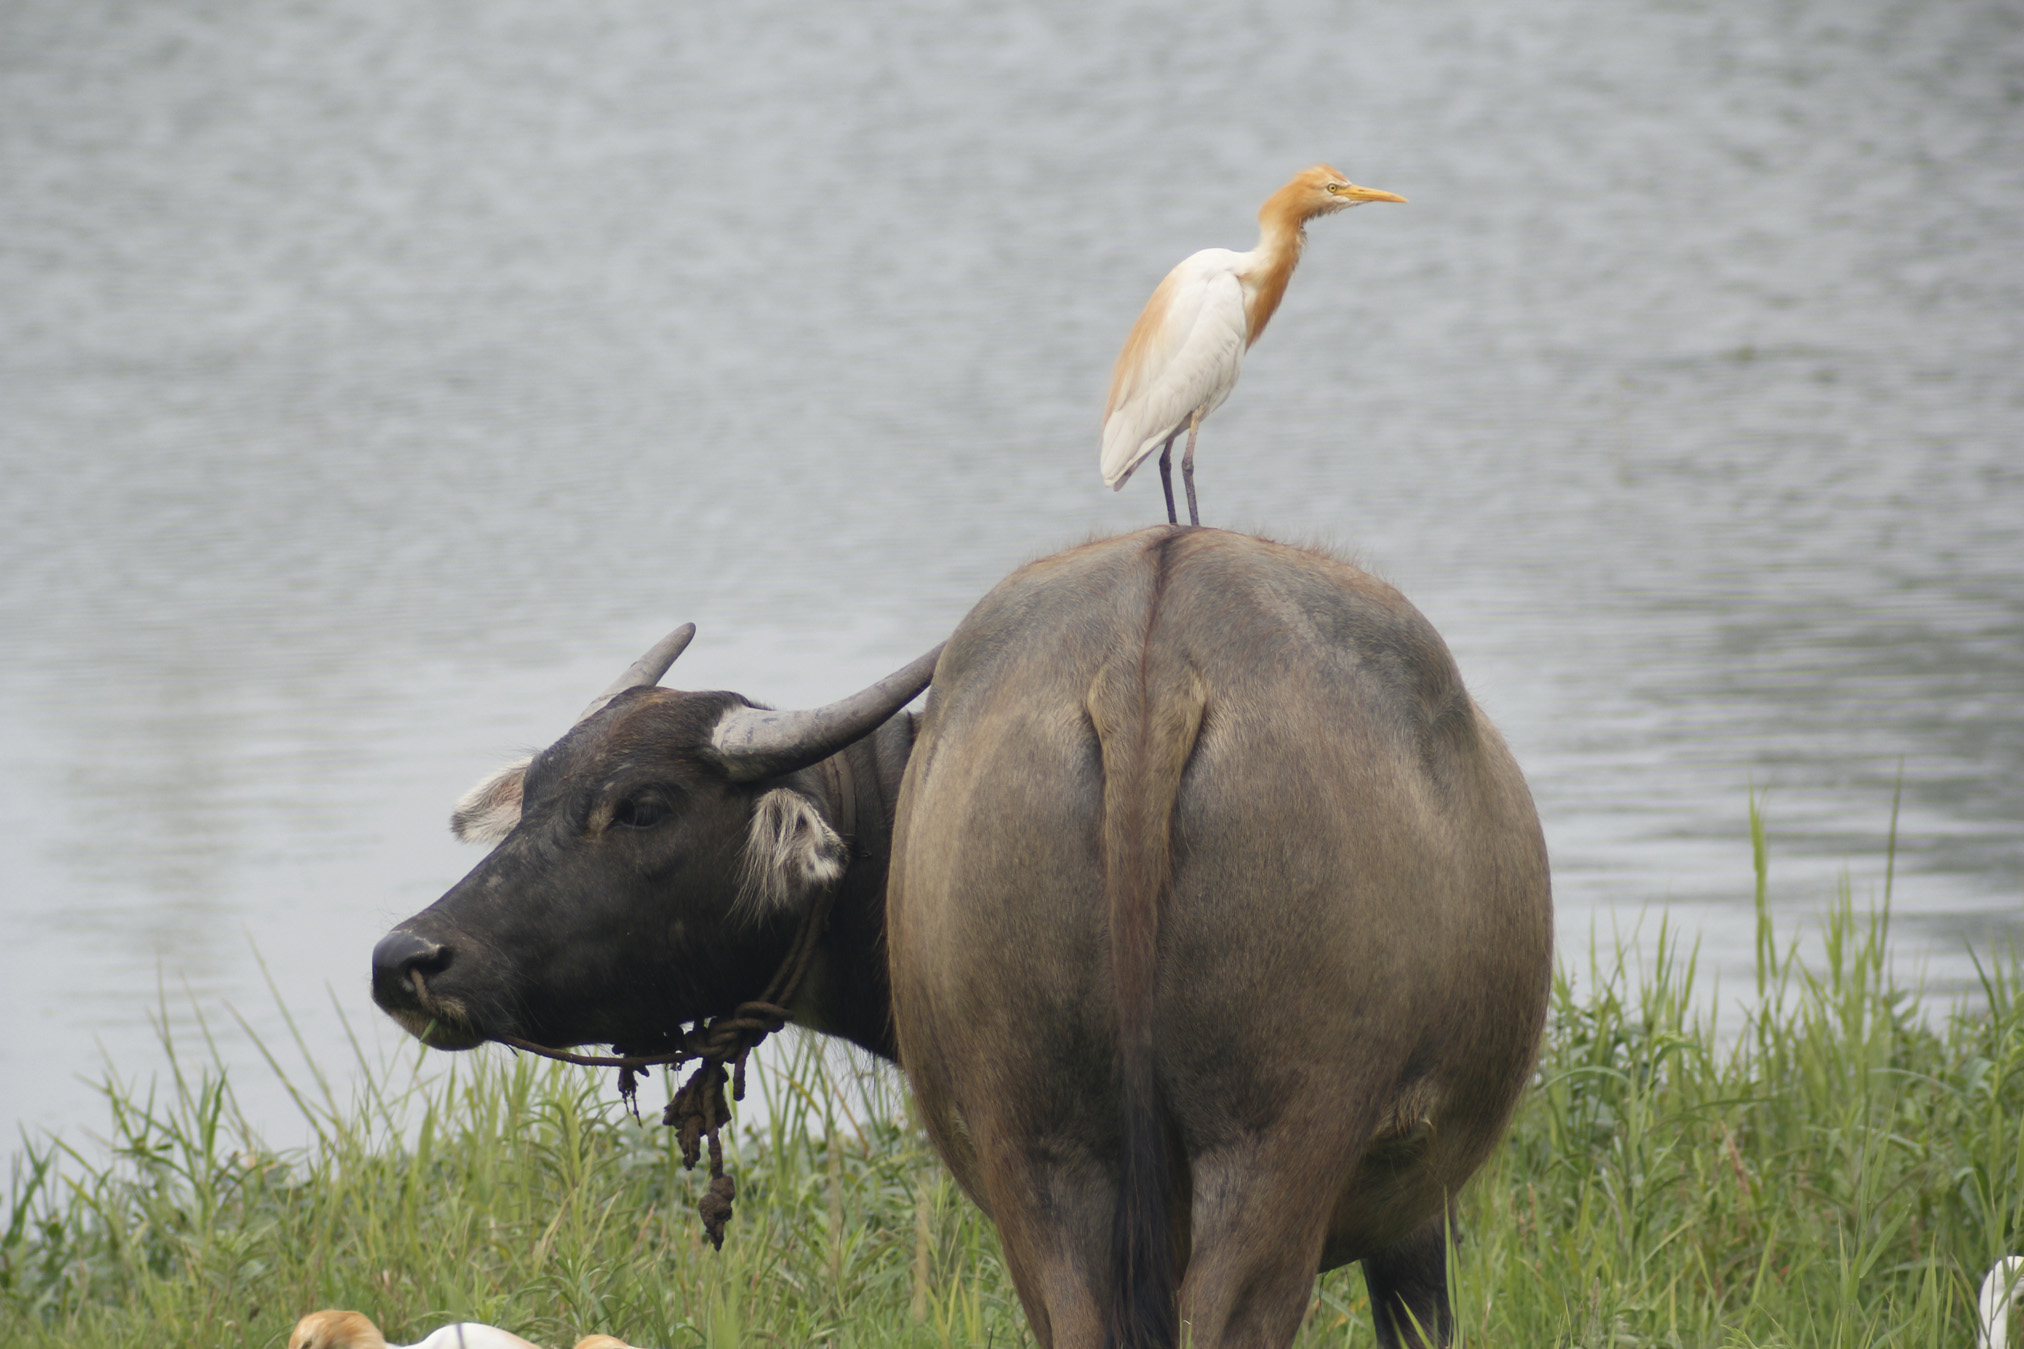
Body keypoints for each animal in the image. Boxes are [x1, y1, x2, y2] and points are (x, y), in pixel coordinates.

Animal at [376, 525, 1546, 1349]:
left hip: (1051, 1149)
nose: (408, 958)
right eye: (534, 795)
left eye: (643, 807)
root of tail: (1151, 661)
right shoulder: (1415, 1213)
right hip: (1249, 1146)